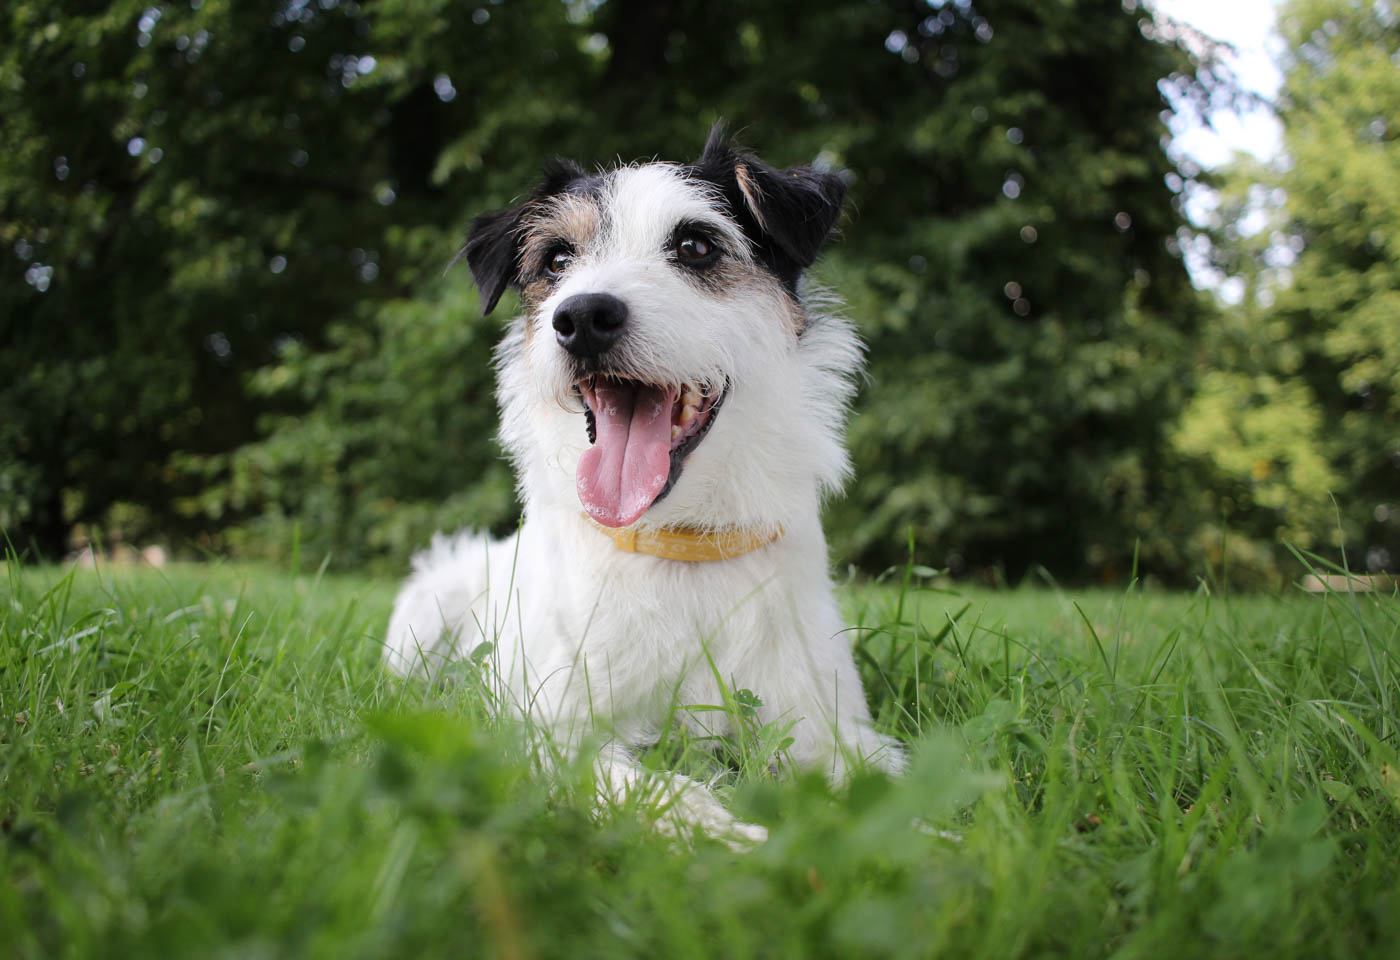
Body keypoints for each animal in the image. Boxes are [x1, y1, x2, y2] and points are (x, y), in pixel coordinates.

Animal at [389, 125, 901, 839]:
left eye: (695, 245)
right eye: (556, 260)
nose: (581, 318)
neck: (677, 542)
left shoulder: (832, 730)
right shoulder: (555, 736)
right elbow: (659, 791)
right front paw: (738, 840)